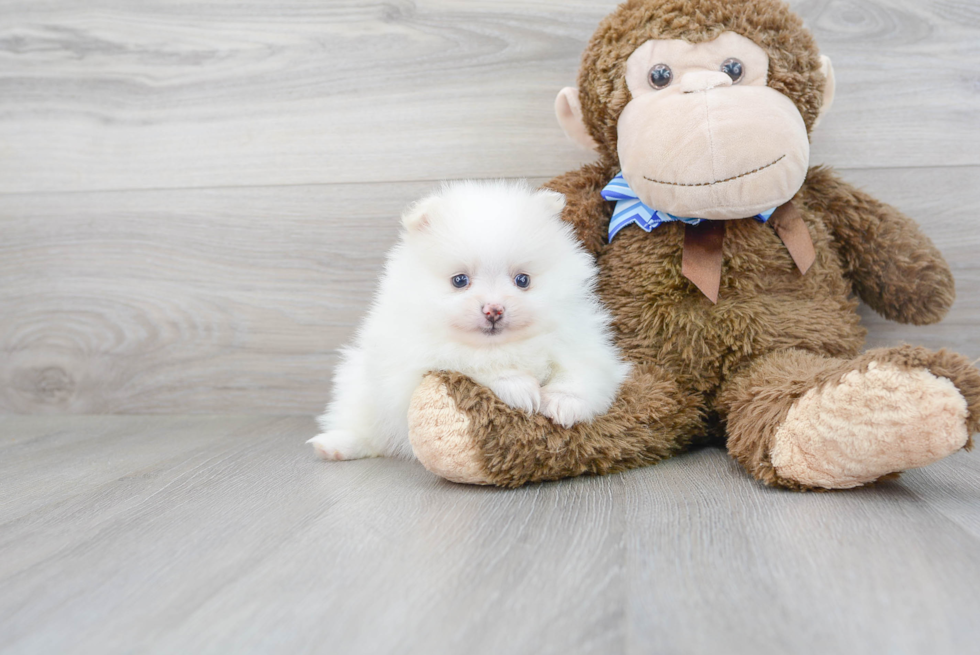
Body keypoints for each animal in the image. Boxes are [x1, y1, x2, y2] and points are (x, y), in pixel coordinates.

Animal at [310, 177, 632, 458]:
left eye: (522, 280)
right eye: (460, 280)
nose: (494, 310)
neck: (505, 344)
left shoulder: (581, 342)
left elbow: (580, 372)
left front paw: (564, 403)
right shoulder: (415, 359)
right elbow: (473, 360)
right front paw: (519, 386)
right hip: (360, 389)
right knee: (367, 431)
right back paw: (335, 445)